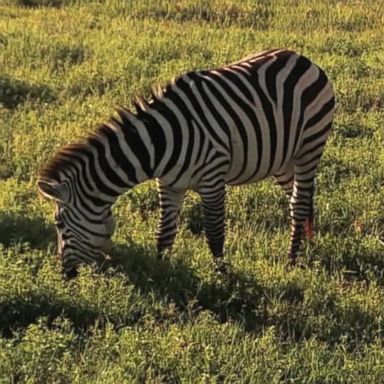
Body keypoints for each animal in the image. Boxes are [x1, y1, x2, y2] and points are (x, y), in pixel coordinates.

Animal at [37, 48, 334, 276]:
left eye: (59, 225)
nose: (64, 274)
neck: (158, 145)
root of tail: (301, 57)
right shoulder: (169, 185)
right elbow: (165, 232)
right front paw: (162, 272)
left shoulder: (212, 179)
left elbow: (214, 232)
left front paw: (223, 277)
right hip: (282, 161)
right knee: (299, 200)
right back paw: (307, 245)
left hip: (309, 146)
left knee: (298, 203)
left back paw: (291, 261)